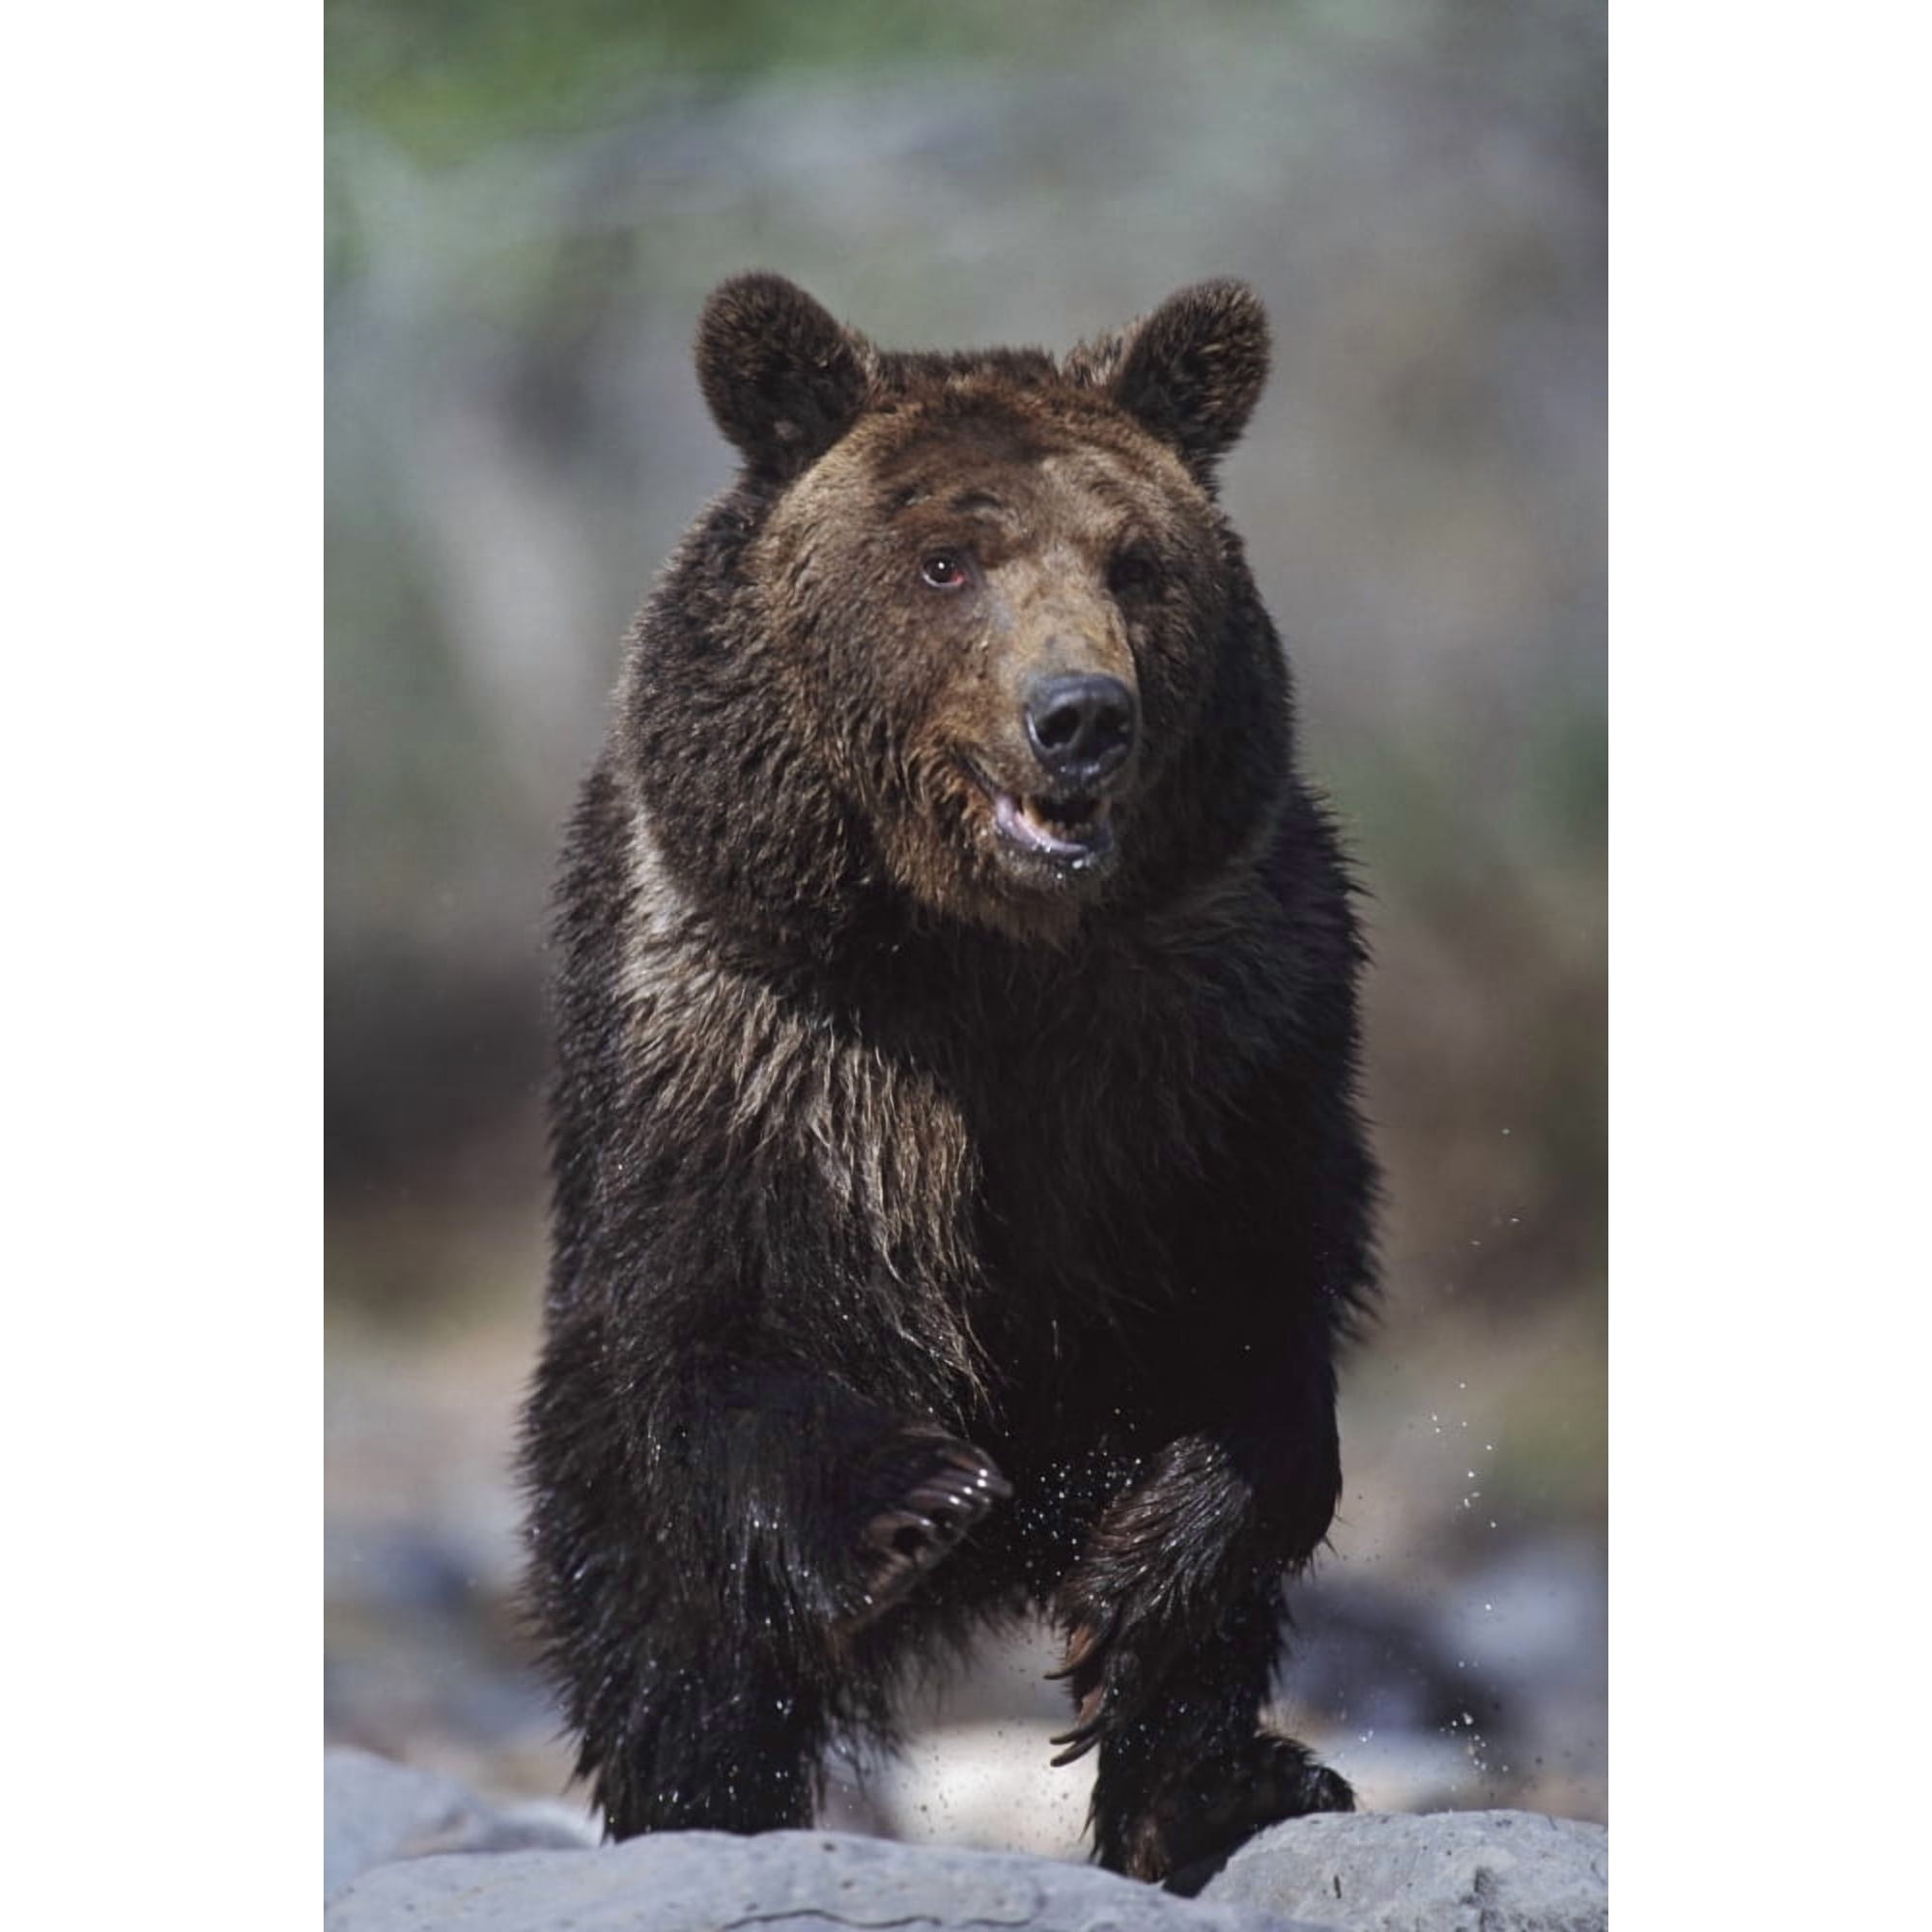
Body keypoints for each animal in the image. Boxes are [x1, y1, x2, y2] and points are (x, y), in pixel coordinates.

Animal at [520, 273, 1377, 1888]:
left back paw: (1225, 1784)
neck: (981, 954)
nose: (1080, 712)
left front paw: (1153, 1560)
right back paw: (701, 1805)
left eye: (1137, 562)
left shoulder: (1223, 1035)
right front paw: (914, 1505)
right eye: (943, 559)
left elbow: (1264, 1307)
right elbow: (719, 1311)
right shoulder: (759, 1029)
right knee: (656, 1612)